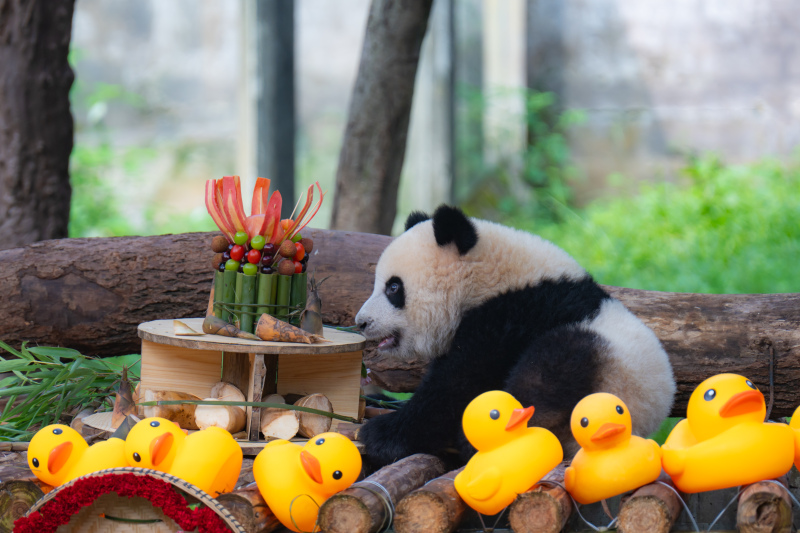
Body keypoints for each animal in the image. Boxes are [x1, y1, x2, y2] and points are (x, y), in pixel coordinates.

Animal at [356, 206, 676, 468]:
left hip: (611, 375)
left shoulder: (514, 315)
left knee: (552, 371)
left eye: (393, 288)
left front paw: (382, 434)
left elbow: (459, 384)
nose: (361, 322)